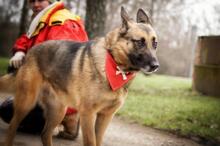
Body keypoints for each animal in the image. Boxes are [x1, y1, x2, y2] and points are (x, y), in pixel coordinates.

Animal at [0, 7, 159, 146]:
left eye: (155, 43)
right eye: (140, 42)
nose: (156, 65)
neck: (115, 65)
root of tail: (31, 52)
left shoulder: (105, 117)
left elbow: (98, 142)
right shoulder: (88, 114)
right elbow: (91, 142)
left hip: (58, 110)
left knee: (45, 134)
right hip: (26, 103)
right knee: (12, 127)